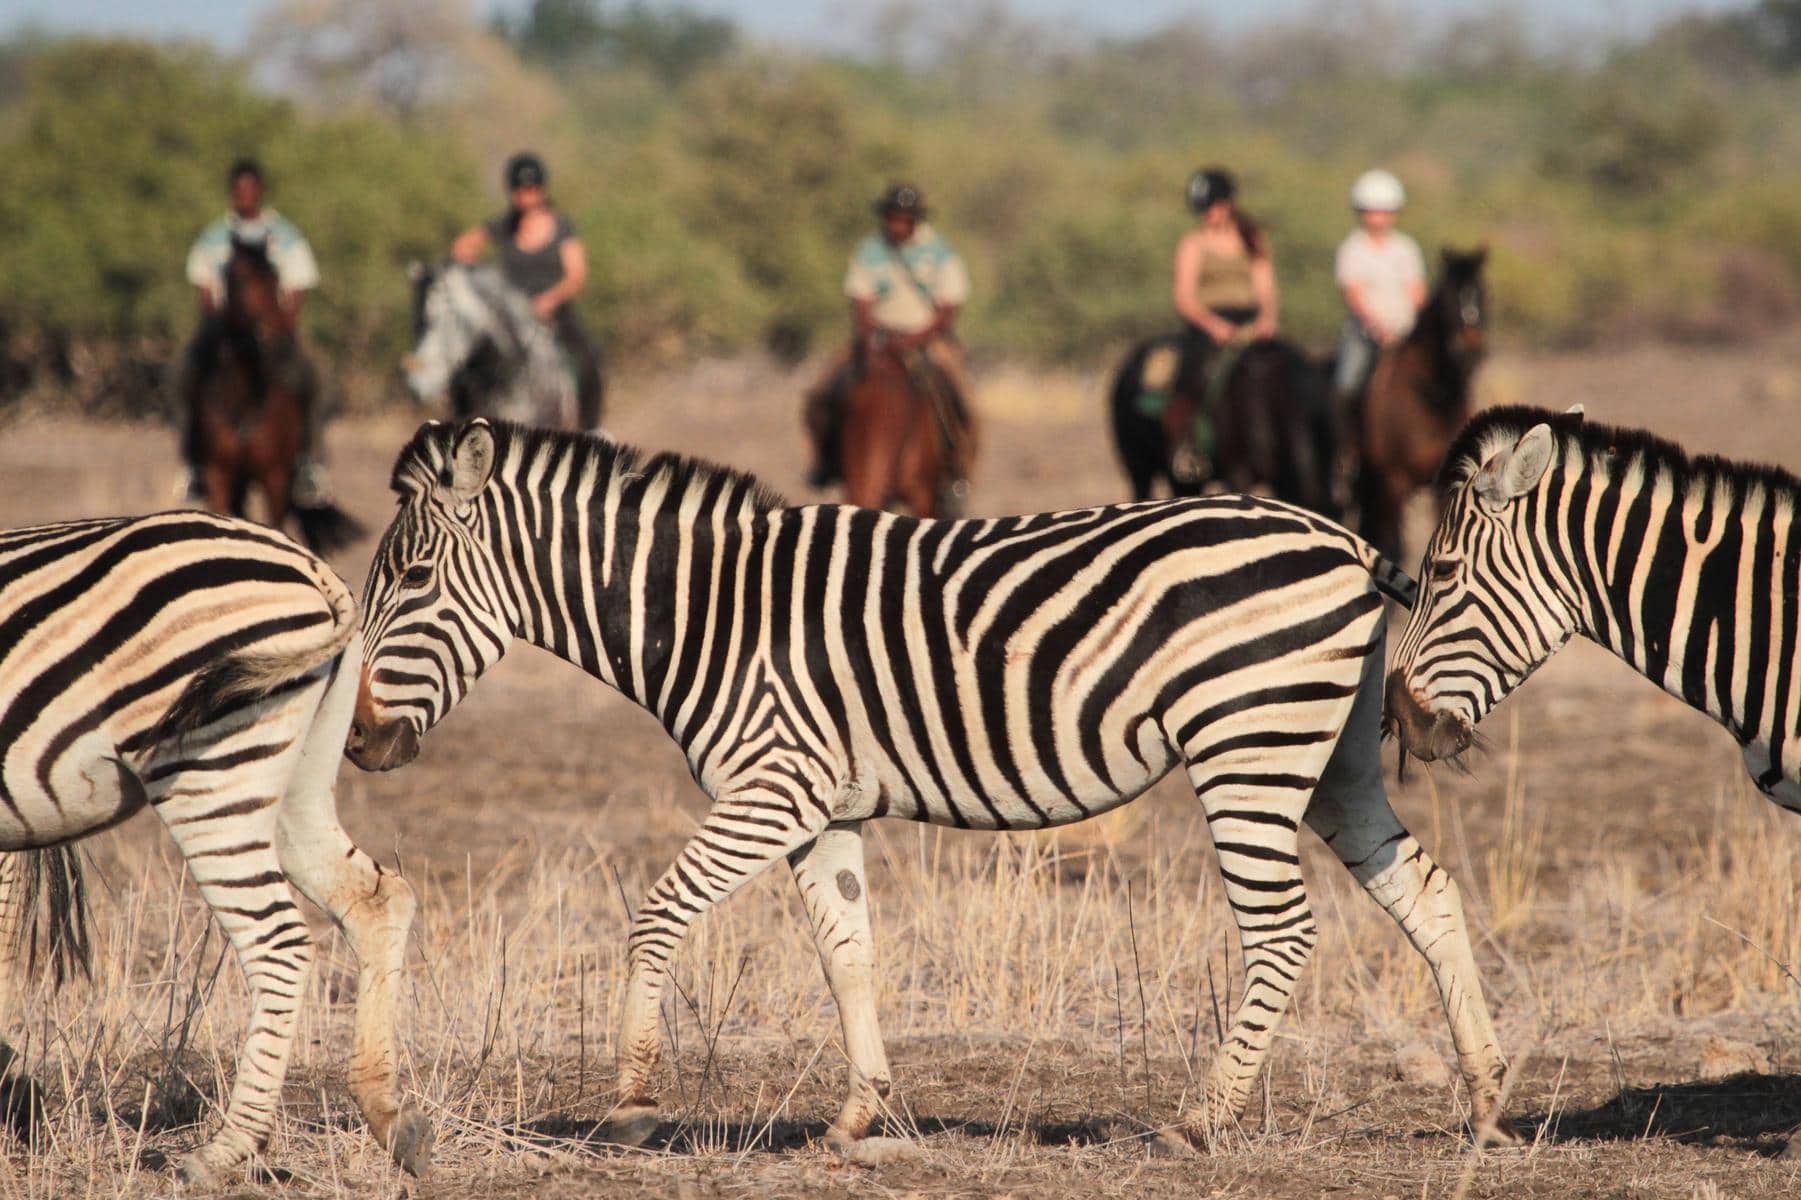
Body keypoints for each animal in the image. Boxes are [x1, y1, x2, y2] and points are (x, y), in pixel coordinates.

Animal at [0, 512, 429, 1182]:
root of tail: (316, 572)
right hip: (299, 775)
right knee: (376, 898)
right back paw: (390, 1116)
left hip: (208, 769)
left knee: (279, 942)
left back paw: (227, 1149)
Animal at [347, 417, 1515, 1152]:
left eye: (410, 579)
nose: (354, 742)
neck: (709, 608)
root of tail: (1341, 536)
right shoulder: (822, 809)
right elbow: (848, 953)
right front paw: (857, 1115)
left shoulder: (770, 786)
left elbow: (656, 913)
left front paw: (632, 1102)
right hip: (1328, 756)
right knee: (1425, 891)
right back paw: (1484, 1103)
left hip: (1248, 742)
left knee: (1281, 927)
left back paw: (1202, 1120)